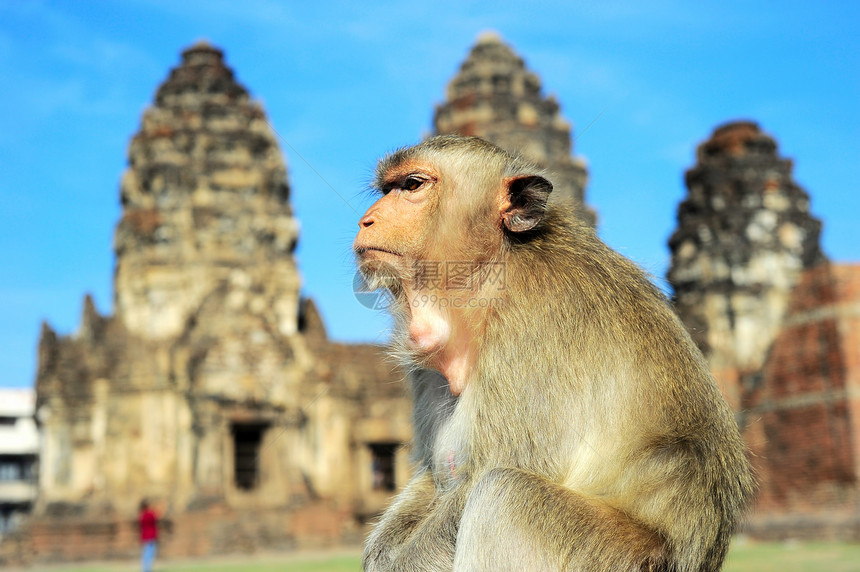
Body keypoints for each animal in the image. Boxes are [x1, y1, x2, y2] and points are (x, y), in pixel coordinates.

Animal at [354, 136, 752, 568]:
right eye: (386, 189)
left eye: (412, 185)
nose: (366, 221)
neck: (494, 271)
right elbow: (433, 474)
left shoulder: (530, 325)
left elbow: (482, 480)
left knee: (503, 493)